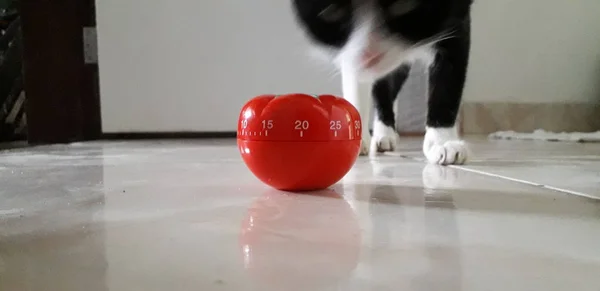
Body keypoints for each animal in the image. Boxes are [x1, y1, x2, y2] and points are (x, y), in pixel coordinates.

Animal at [290, 0, 474, 164]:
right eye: (331, 11)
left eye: (404, 4)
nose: (369, 56)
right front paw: (356, 137)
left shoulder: (456, 19)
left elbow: (447, 84)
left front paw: (443, 142)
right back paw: (383, 135)